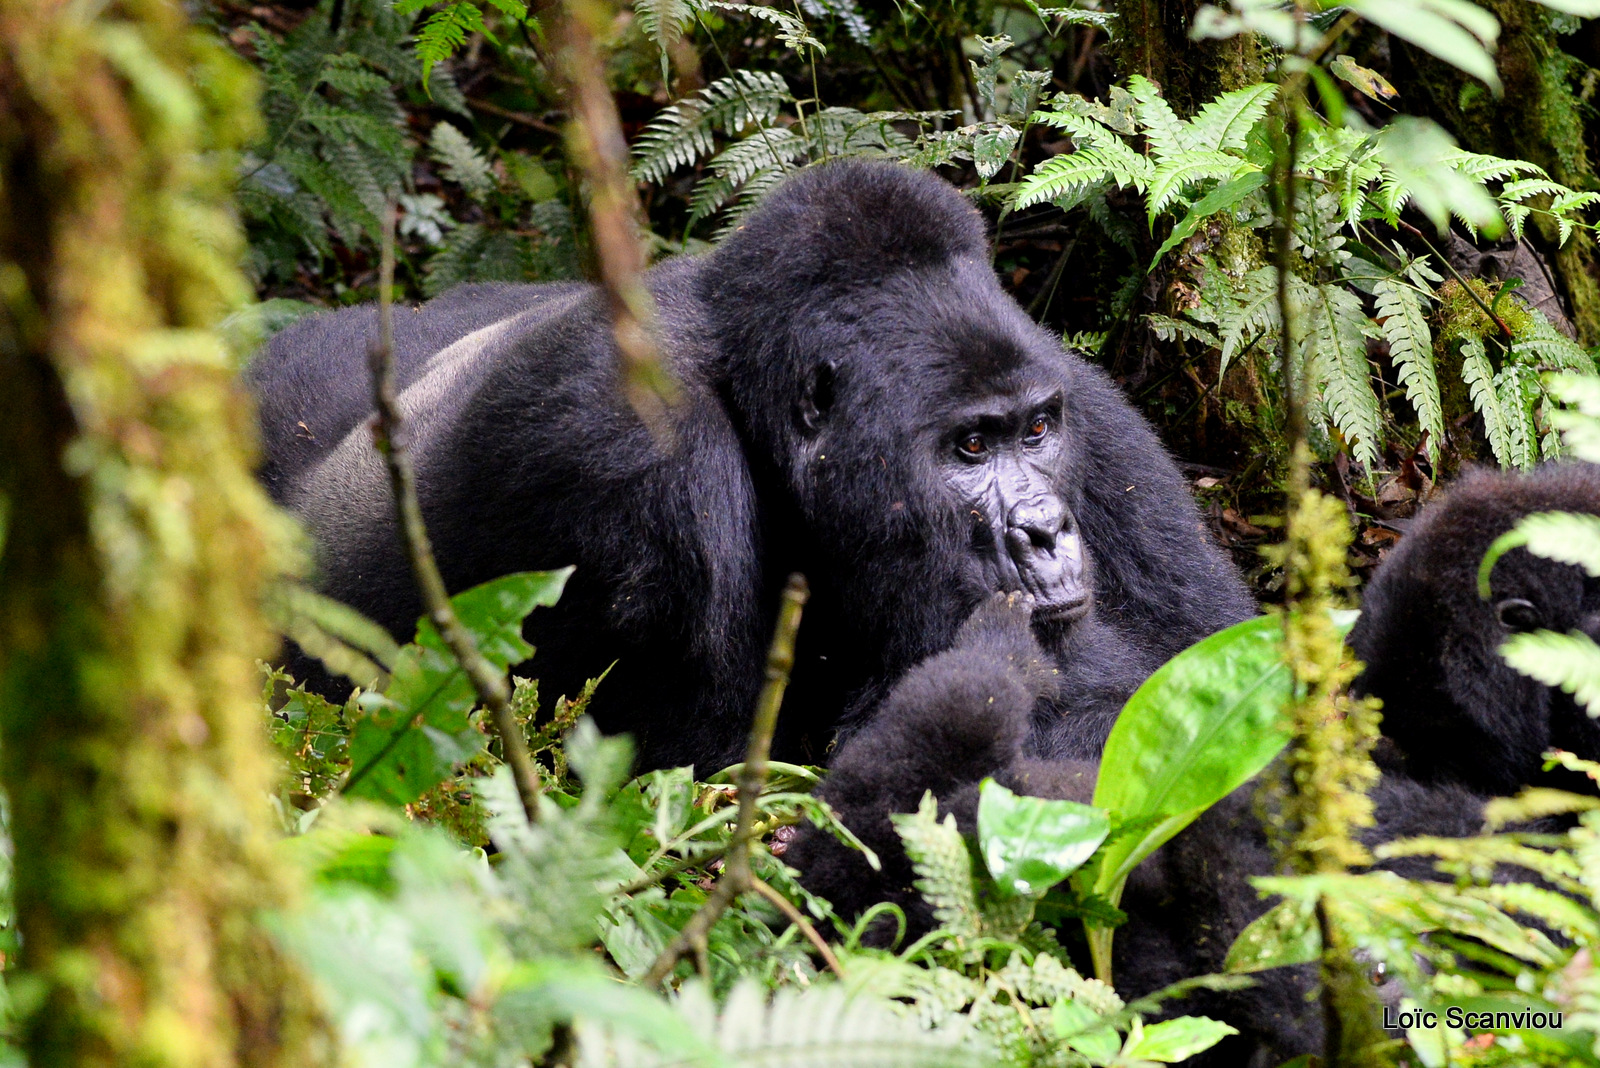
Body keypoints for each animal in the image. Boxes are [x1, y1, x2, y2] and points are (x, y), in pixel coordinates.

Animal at [249, 158, 1254, 770]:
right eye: (971, 447)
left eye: (1035, 432)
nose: (1047, 533)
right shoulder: (636, 461)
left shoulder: (1083, 401)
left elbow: (1203, 651)